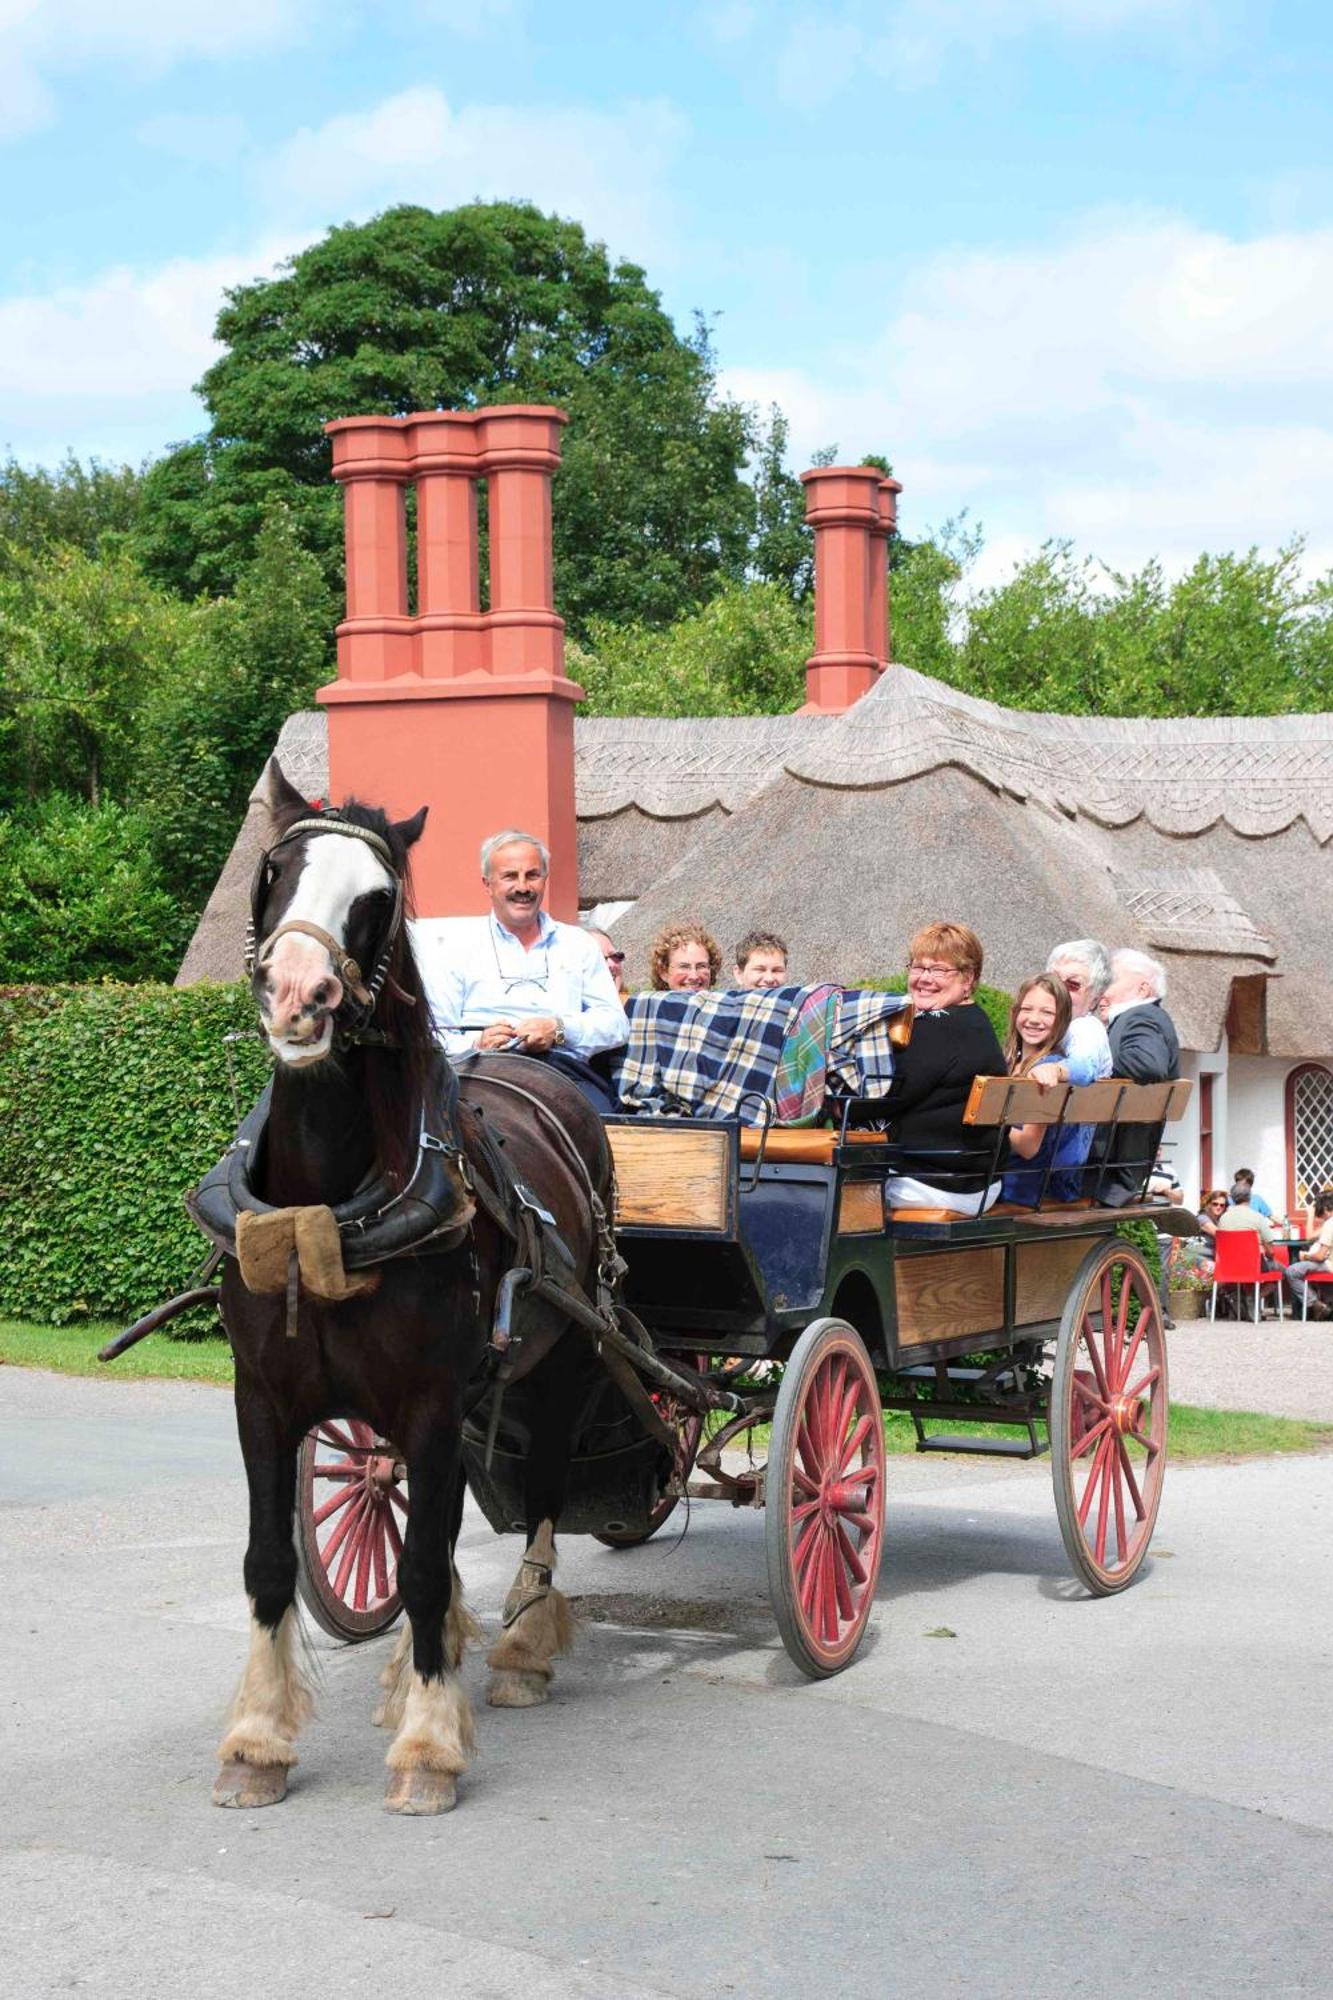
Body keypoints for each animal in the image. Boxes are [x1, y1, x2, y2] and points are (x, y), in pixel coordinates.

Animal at [210, 760, 616, 1816]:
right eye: (273, 871)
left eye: (379, 899)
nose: (298, 994)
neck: (328, 1198)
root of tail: (524, 1065)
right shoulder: (262, 1399)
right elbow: (272, 1562)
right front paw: (257, 1739)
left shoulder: (432, 1401)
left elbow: (428, 1569)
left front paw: (430, 1745)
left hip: (562, 1359)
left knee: (540, 1494)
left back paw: (520, 1645)